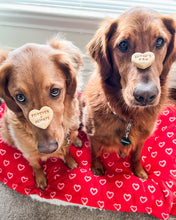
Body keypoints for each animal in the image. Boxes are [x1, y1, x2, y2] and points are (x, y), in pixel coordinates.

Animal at [0, 37, 82, 189]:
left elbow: (67, 151)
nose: (48, 149)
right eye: (20, 97)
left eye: (55, 91)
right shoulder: (29, 154)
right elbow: (36, 165)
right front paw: (40, 179)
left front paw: (70, 161)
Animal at [81, 6, 176, 179]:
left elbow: (137, 155)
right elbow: (95, 152)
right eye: (123, 44)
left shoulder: (142, 139)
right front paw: (97, 168)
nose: (145, 96)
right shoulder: (93, 135)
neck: (129, 117)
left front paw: (139, 171)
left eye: (160, 41)